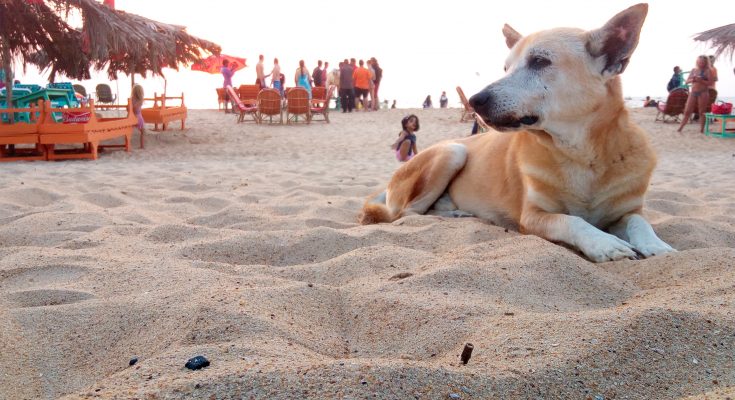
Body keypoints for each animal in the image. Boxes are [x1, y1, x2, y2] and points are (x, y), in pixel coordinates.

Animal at [360, 5, 676, 266]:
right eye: (506, 67)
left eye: (539, 61)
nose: (475, 100)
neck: (581, 154)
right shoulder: (534, 216)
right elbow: (573, 221)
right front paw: (605, 244)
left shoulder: (627, 212)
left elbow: (640, 223)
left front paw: (657, 246)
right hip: (452, 151)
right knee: (407, 214)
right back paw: (457, 215)